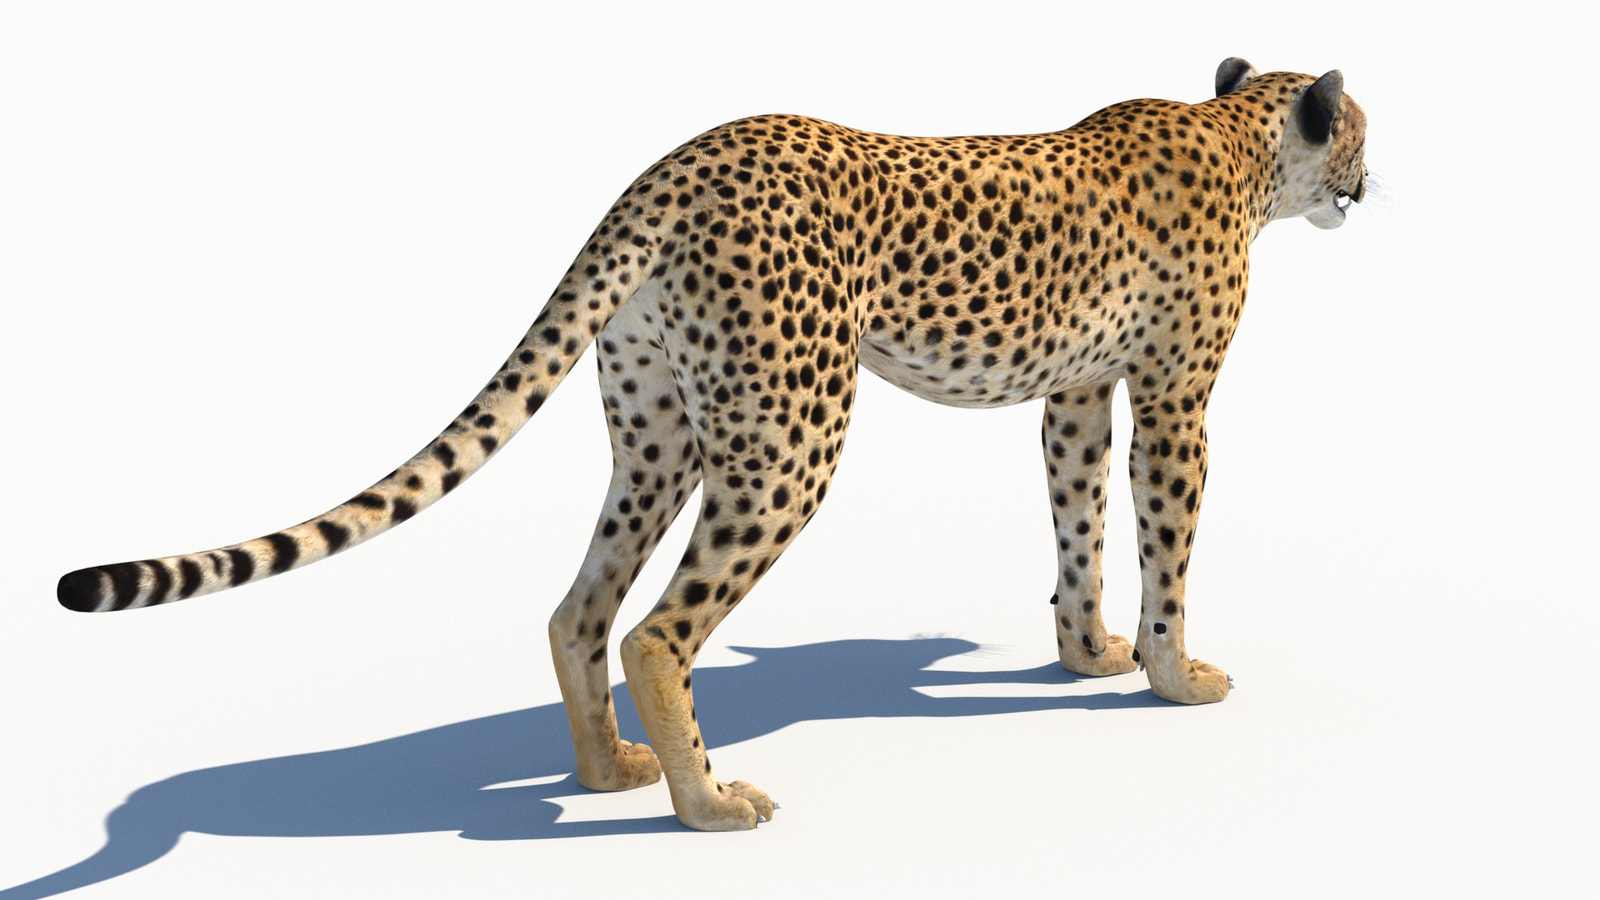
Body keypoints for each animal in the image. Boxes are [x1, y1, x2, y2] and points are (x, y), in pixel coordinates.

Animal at [57, 58, 1370, 831]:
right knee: (655, 629)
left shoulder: (1077, 395)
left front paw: (1086, 654)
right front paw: (1171, 677)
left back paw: (608, 771)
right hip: (790, 433)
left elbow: (1076, 525)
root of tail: (683, 158)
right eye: (1355, 133)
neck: (1237, 140)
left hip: (661, 432)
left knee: (579, 607)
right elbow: (1165, 546)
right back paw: (704, 800)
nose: (1367, 184)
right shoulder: (1172, 399)